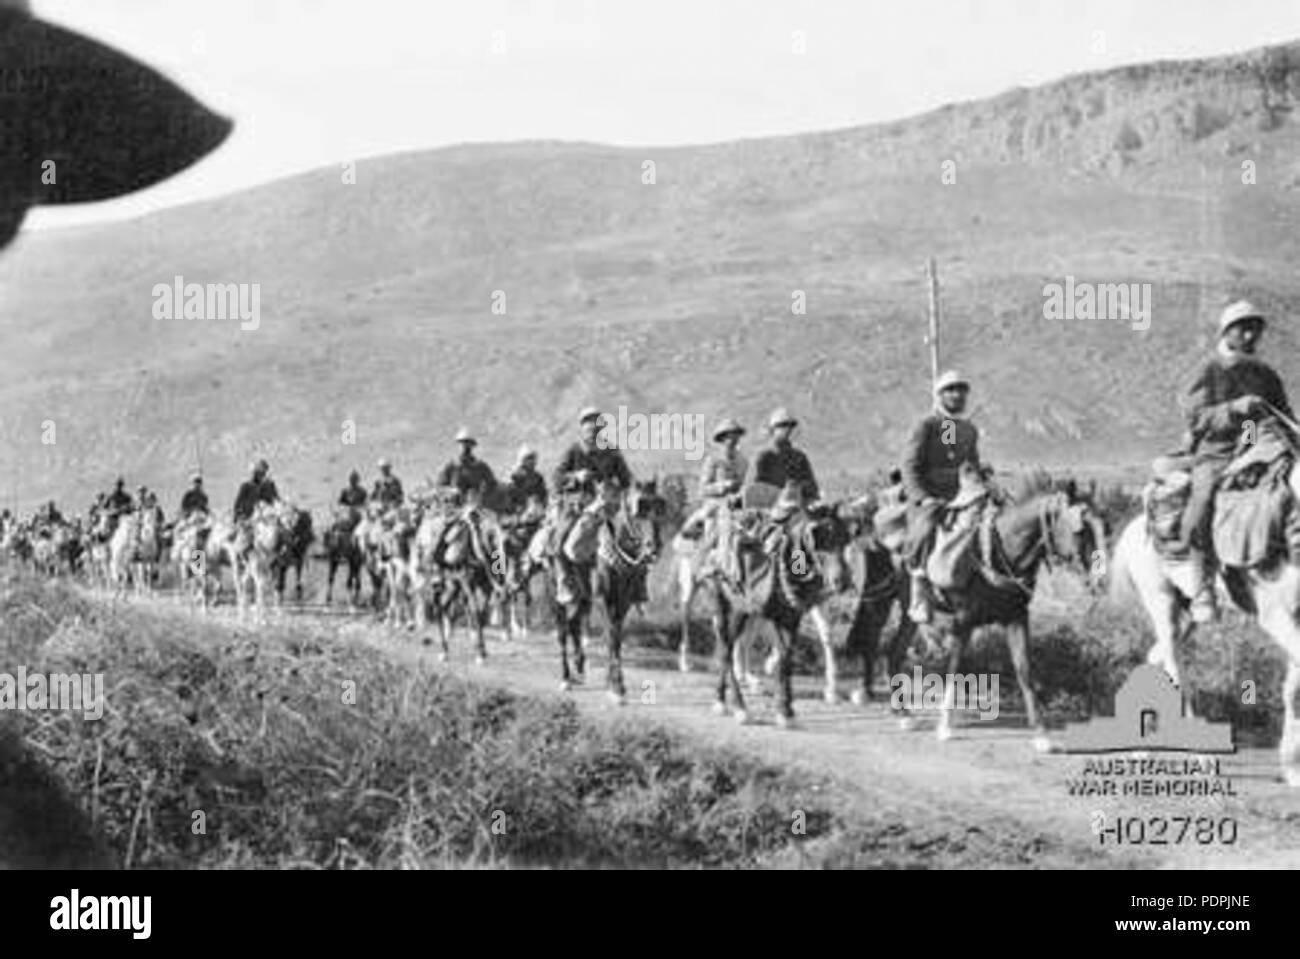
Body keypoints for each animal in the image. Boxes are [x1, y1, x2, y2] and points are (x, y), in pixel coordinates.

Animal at [1107, 462, 1300, 784]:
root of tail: (1135, 528)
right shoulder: (1275, 615)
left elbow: (1292, 686)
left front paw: (1292, 767)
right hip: (1160, 602)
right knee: (1175, 669)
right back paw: (1201, 756)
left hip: (1187, 617)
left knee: (1156, 657)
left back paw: (1142, 746)